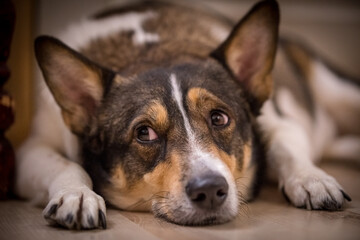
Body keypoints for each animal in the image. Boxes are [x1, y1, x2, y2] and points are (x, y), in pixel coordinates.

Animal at [13, 0, 358, 229]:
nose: (210, 191)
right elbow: (64, 164)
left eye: (219, 118)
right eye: (144, 133)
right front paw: (77, 194)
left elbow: (285, 147)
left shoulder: (281, 122)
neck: (154, 48)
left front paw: (312, 179)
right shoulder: (30, 149)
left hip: (338, 89)